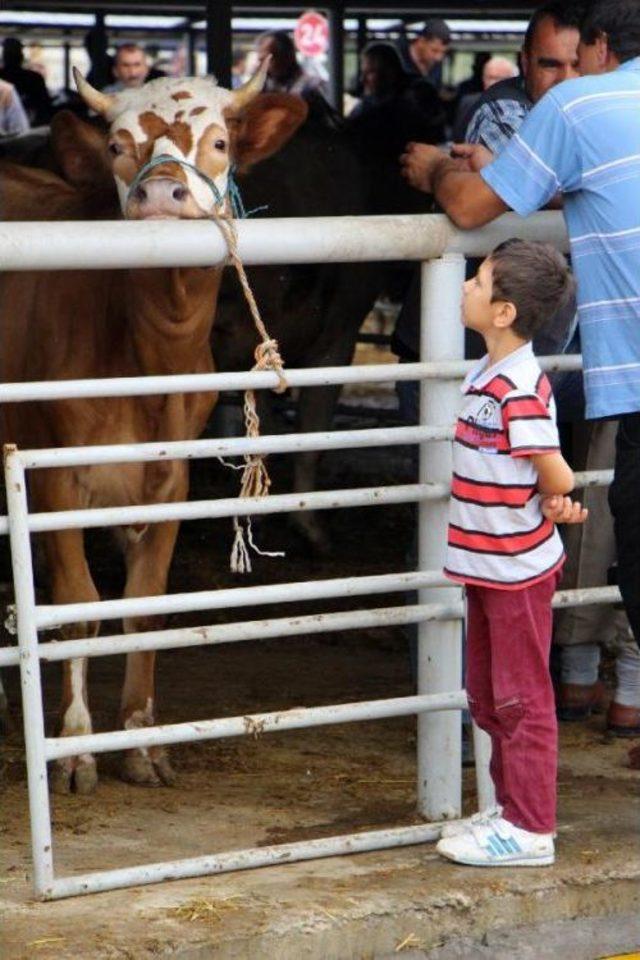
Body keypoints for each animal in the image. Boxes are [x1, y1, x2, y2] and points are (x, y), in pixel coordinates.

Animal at [0, 69, 308, 796]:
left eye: (220, 142)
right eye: (117, 146)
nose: (161, 191)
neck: (147, 360)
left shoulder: (171, 481)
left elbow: (144, 606)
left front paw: (141, 740)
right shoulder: (54, 480)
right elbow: (77, 607)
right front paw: (76, 749)